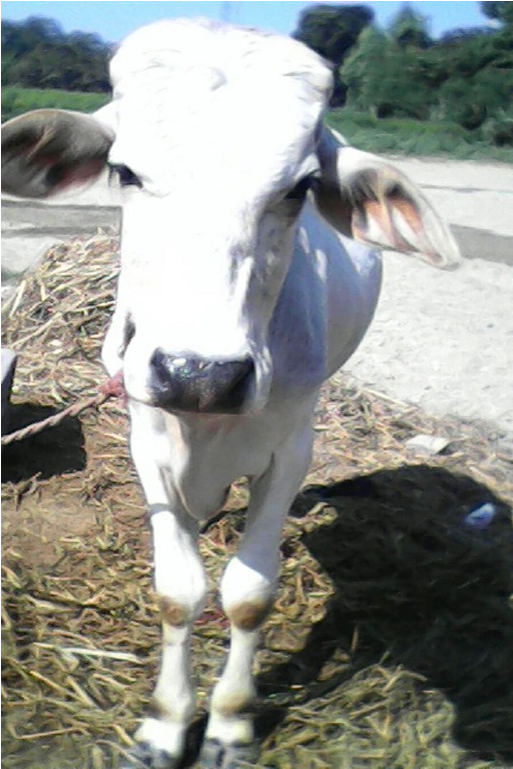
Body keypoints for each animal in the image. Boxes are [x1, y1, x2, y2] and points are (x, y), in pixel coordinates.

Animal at [1, 18, 460, 769]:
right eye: (125, 172)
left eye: (301, 187)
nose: (200, 373)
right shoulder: (146, 438)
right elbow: (177, 592)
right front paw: (165, 724)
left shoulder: (293, 447)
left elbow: (248, 595)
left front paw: (229, 724)